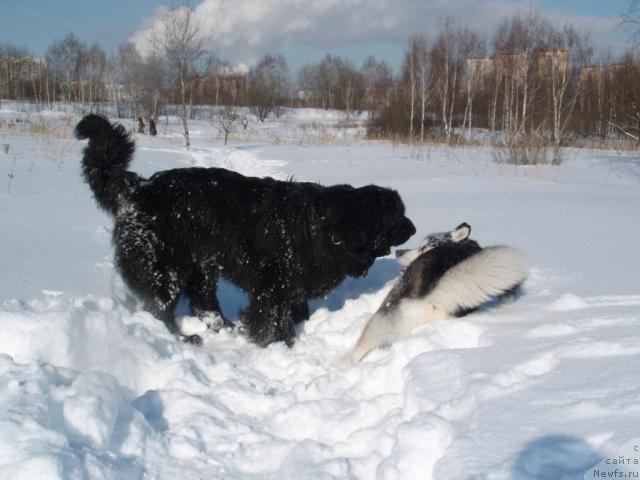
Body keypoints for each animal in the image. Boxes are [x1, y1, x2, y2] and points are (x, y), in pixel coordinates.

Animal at [75, 114, 416, 346]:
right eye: (397, 216)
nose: (414, 227)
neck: (331, 229)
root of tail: (139, 188)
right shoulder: (272, 285)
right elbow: (273, 319)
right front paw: (279, 344)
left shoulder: (291, 285)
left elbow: (296, 311)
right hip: (163, 265)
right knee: (161, 307)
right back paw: (183, 337)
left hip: (202, 265)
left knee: (202, 301)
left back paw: (223, 326)